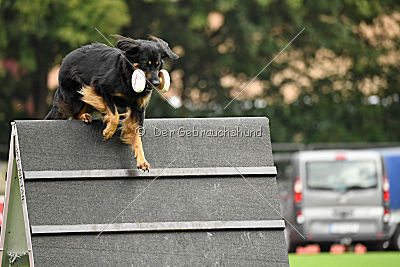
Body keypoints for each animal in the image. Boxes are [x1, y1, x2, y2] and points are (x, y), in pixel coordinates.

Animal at [44, 35, 180, 172]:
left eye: (158, 65)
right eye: (145, 64)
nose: (156, 83)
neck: (128, 77)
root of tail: (66, 58)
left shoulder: (139, 109)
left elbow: (137, 135)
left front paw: (142, 160)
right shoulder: (101, 87)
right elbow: (113, 115)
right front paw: (109, 131)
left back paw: (86, 116)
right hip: (72, 100)